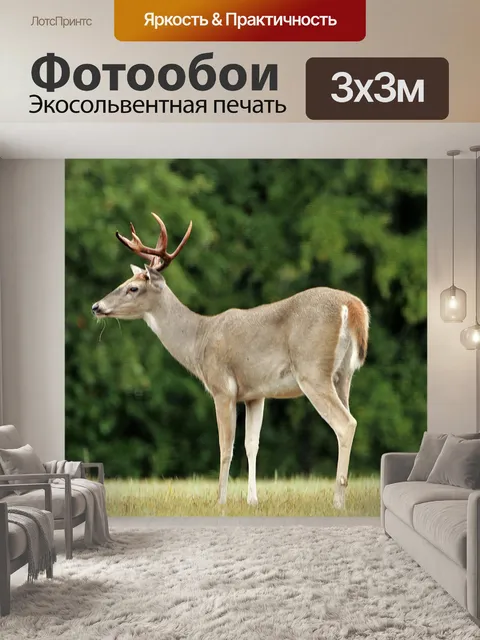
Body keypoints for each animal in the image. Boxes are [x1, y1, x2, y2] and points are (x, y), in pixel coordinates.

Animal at [92, 213, 369, 510]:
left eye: (133, 287)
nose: (96, 306)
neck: (198, 339)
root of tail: (353, 306)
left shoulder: (222, 387)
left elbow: (226, 447)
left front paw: (220, 501)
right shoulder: (255, 394)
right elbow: (251, 444)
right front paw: (252, 500)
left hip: (313, 371)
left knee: (346, 424)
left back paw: (338, 501)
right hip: (343, 374)